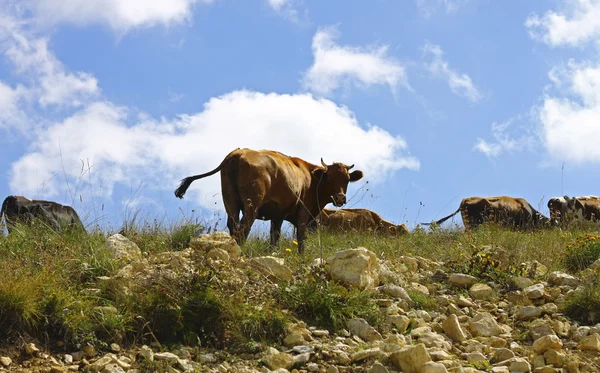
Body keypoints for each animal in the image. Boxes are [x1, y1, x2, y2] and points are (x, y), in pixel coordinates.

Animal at [171, 147, 364, 251]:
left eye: (347, 179)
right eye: (329, 177)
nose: (340, 198)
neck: (311, 179)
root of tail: (236, 153)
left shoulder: (277, 216)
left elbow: (274, 239)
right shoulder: (303, 214)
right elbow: (301, 240)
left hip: (230, 201)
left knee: (233, 226)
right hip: (252, 204)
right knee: (243, 229)